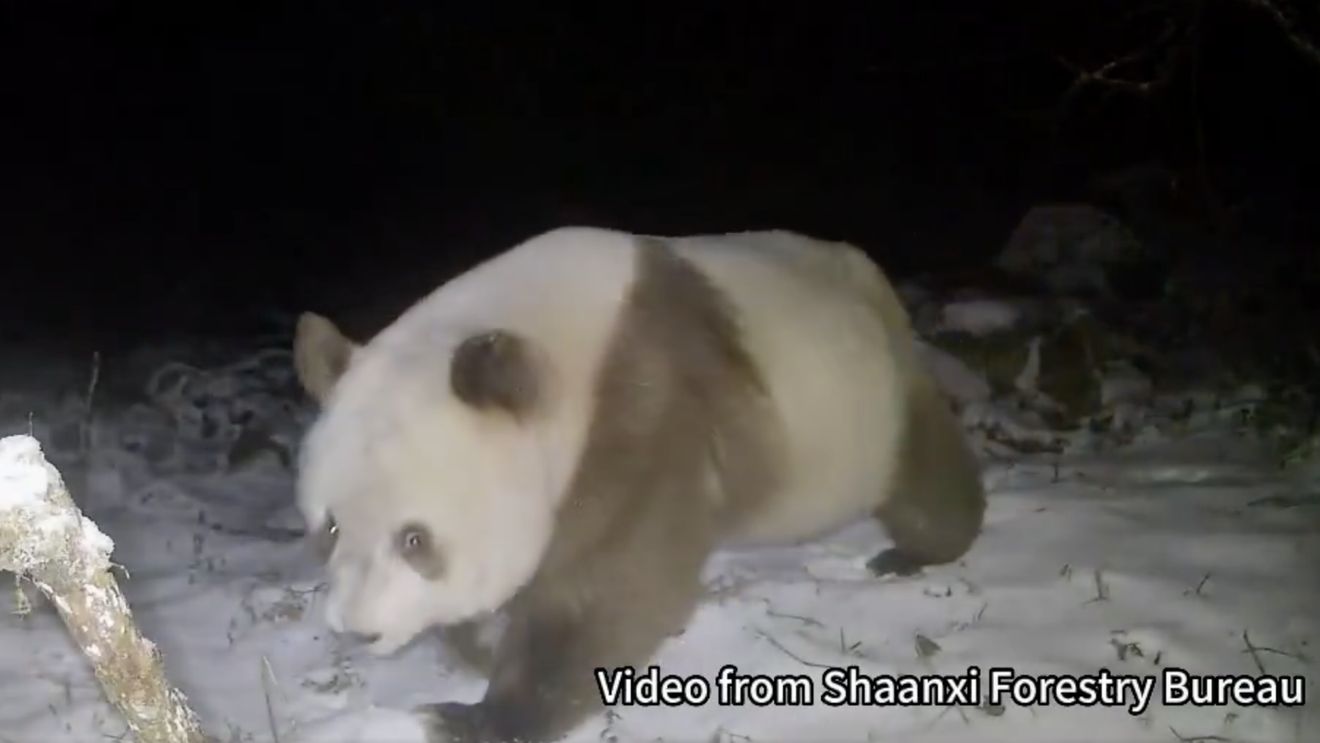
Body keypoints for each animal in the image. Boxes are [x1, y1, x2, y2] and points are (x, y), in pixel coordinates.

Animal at [292, 226, 986, 743]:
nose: (357, 630)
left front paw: (474, 716)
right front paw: (477, 647)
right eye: (330, 527)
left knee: (920, 469)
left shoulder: (644, 404)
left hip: (869, 393)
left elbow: (612, 585)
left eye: (414, 538)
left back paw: (917, 551)